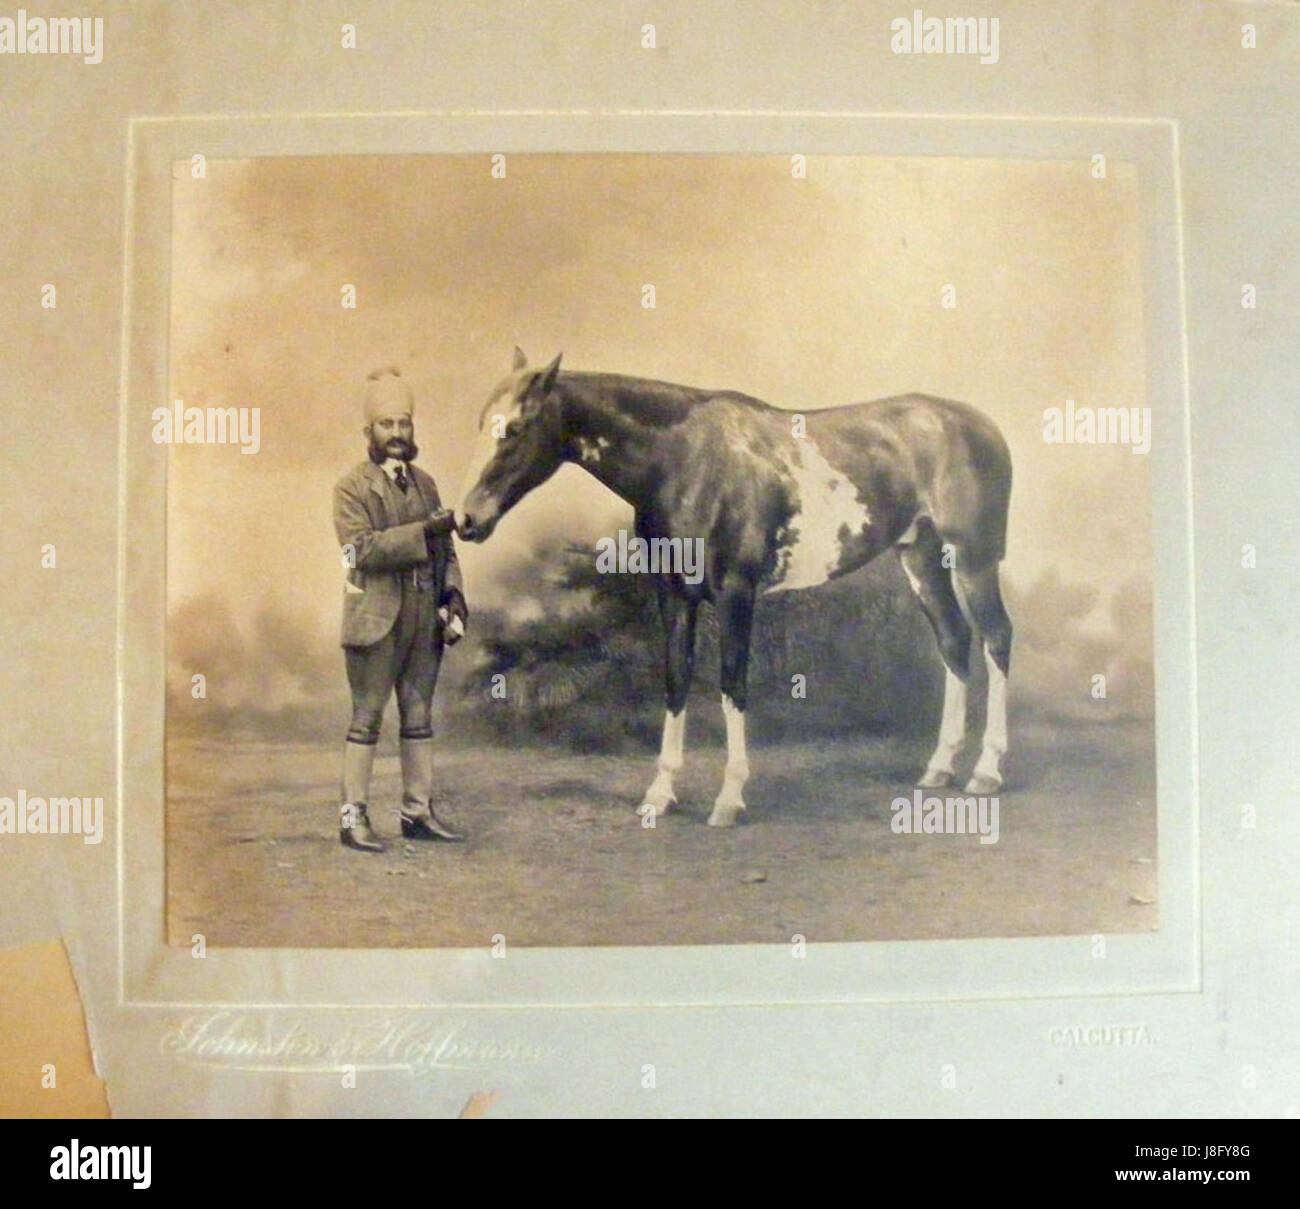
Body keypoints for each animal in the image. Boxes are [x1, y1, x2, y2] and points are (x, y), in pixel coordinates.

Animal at [457, 343, 1013, 826]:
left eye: (517, 428)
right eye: (481, 422)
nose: (465, 520)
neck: (684, 460)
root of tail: (981, 424)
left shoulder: (735, 593)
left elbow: (733, 683)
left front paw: (729, 798)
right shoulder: (673, 593)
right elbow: (676, 679)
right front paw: (660, 794)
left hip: (974, 560)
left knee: (995, 639)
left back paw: (987, 771)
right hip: (921, 559)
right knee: (954, 641)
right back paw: (940, 767)